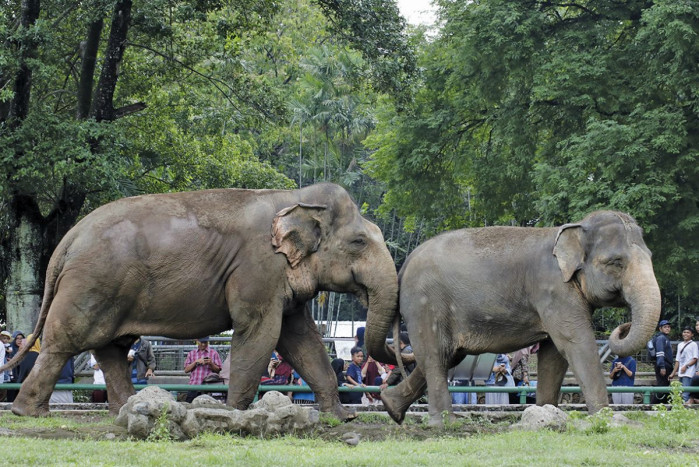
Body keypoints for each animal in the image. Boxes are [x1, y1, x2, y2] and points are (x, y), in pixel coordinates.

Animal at [0, 184, 396, 420]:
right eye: (359, 241)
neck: (294, 198)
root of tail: (68, 239)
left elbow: (302, 340)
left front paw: (342, 418)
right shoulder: (257, 269)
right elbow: (259, 333)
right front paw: (233, 416)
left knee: (111, 349)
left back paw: (127, 410)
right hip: (92, 282)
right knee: (65, 342)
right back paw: (27, 414)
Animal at [366, 212, 660, 428]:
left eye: (651, 257)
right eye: (616, 262)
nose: (622, 326)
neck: (572, 231)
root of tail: (403, 266)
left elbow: (554, 355)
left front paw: (545, 414)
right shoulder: (552, 289)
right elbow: (575, 343)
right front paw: (606, 419)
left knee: (446, 356)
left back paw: (391, 407)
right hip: (425, 304)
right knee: (436, 357)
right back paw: (444, 423)